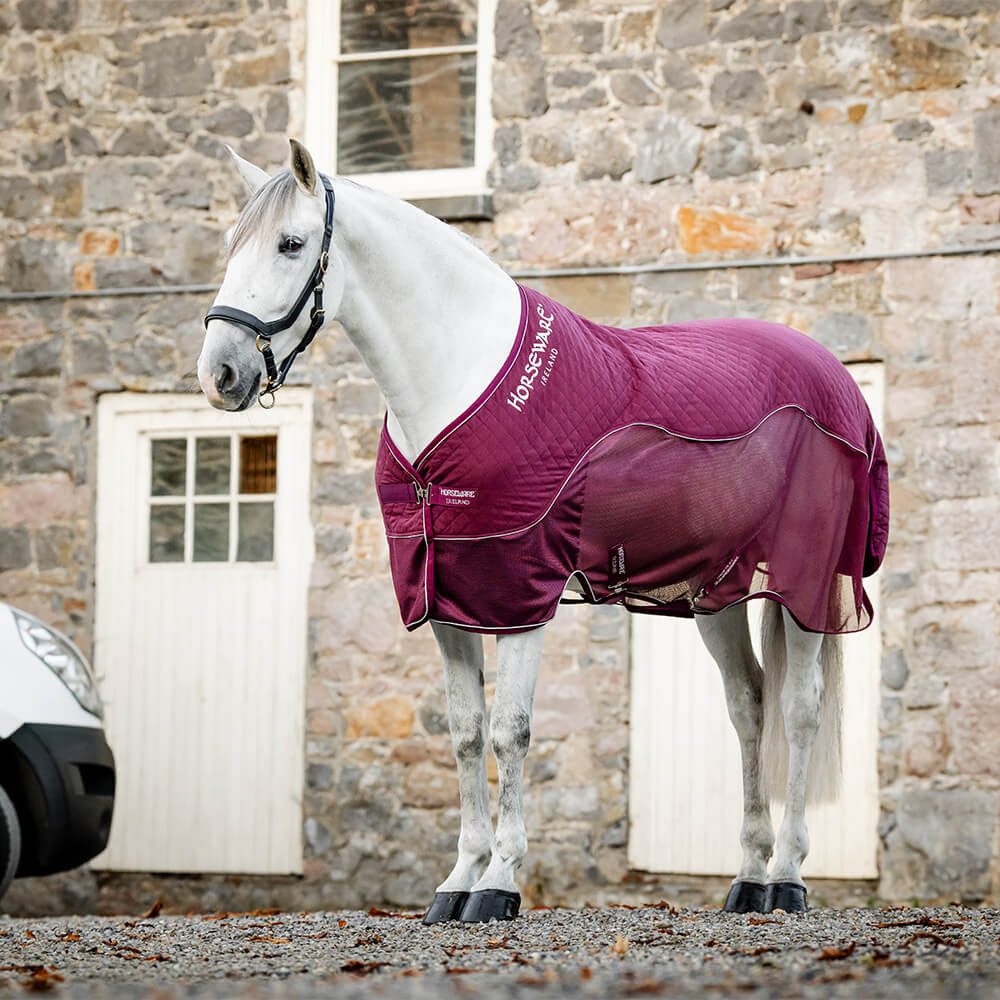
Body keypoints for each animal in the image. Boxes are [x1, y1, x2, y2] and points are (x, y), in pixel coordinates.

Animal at [198, 139, 888, 923]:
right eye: (231, 245)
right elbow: (466, 734)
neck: (458, 380)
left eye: (291, 243)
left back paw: (790, 877)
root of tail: (833, 375)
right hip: (718, 591)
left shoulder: (520, 590)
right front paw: (457, 881)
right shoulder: (447, 595)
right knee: (750, 705)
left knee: (799, 711)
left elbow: (511, 730)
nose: (220, 375)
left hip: (805, 583)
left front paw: (499, 883)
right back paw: (747, 878)